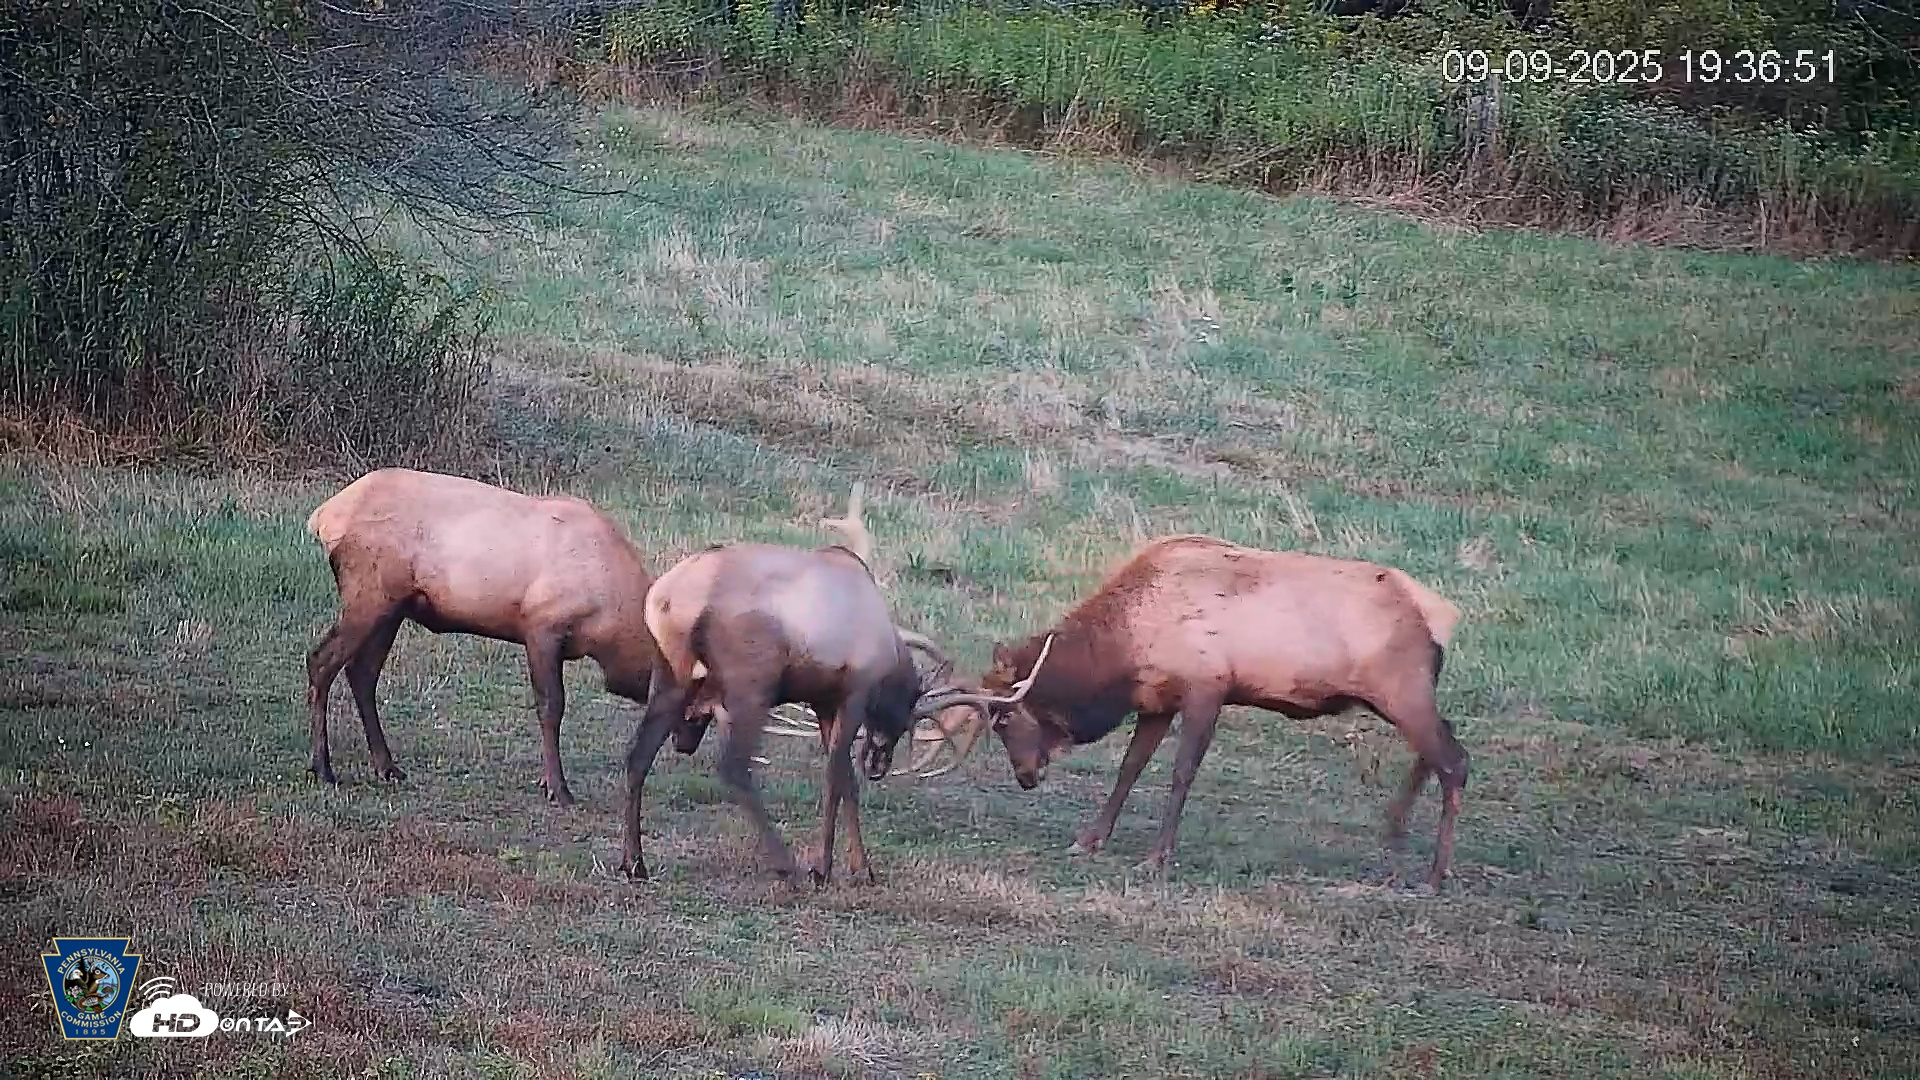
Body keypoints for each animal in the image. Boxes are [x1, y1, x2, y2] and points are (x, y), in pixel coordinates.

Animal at [912, 534, 1472, 892]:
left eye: (1004, 720)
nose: (1027, 777)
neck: (1123, 651)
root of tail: (1443, 617)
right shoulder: (1157, 701)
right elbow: (1130, 767)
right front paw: (1090, 839)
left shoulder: (1207, 688)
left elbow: (1182, 772)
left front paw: (1157, 857)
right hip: (1404, 696)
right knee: (1438, 749)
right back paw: (1394, 834)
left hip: (1401, 691)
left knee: (1455, 760)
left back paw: (1434, 875)